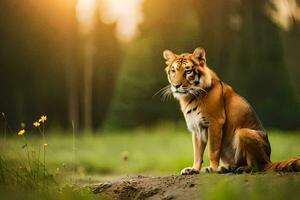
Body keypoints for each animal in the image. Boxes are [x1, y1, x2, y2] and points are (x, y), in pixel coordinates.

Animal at [163, 47, 298, 175]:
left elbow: (212, 150)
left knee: (259, 166)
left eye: (188, 71)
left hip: (244, 132)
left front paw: (212, 168)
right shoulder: (197, 128)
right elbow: (197, 153)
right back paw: (227, 168)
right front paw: (193, 169)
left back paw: (240, 169)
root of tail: (269, 159)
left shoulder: (215, 122)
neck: (189, 97)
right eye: (173, 71)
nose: (176, 85)